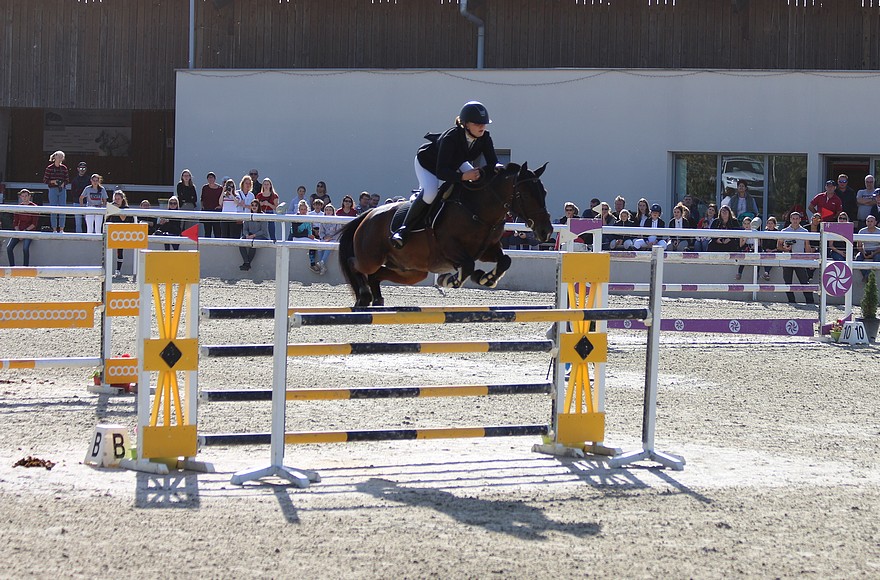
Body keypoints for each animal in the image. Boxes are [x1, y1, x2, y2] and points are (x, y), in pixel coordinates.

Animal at [336, 162, 552, 308]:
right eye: (525, 195)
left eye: (544, 192)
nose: (546, 231)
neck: (477, 209)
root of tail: (367, 215)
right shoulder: (449, 248)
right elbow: (468, 265)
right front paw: (449, 280)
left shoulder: (487, 249)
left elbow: (505, 260)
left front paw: (486, 278)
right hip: (371, 258)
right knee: (354, 264)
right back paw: (364, 296)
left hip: (411, 271)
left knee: (377, 275)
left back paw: (377, 300)